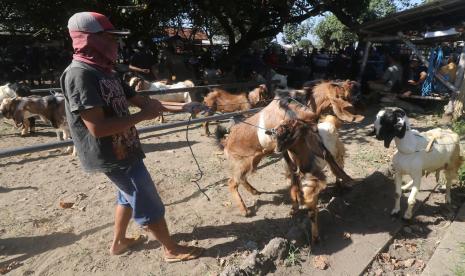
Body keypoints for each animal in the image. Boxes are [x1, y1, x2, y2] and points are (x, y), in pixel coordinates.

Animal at [216, 80, 364, 216]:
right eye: (342, 93)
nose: (356, 84)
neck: (302, 105)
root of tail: (226, 141)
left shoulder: (310, 136)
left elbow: (326, 155)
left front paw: (346, 179)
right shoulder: (288, 147)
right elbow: (295, 172)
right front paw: (296, 204)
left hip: (253, 160)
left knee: (241, 179)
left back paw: (254, 191)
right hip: (242, 162)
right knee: (231, 182)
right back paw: (244, 210)